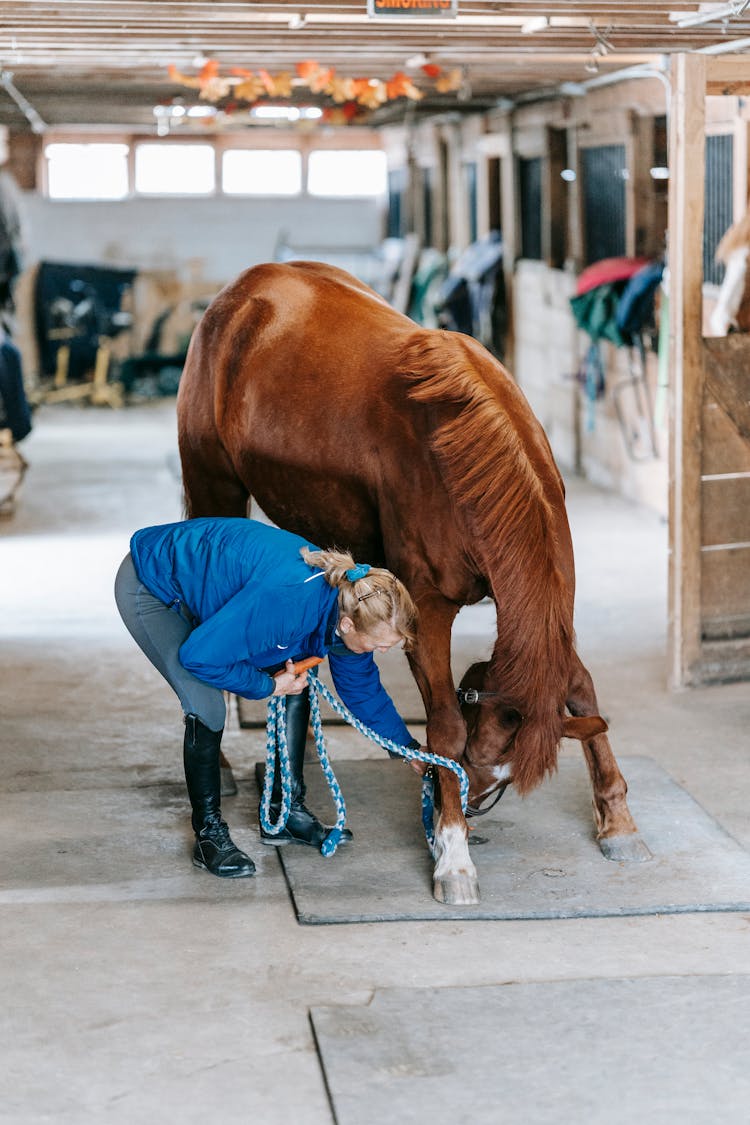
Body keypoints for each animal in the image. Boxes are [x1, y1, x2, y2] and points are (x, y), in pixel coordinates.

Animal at [176, 257, 647, 904]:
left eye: (500, 774)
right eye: (476, 758)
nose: (470, 807)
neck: (467, 461)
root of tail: (242, 291)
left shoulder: (556, 609)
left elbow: (582, 689)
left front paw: (618, 822)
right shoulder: (427, 611)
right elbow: (442, 723)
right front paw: (452, 856)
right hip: (211, 489)